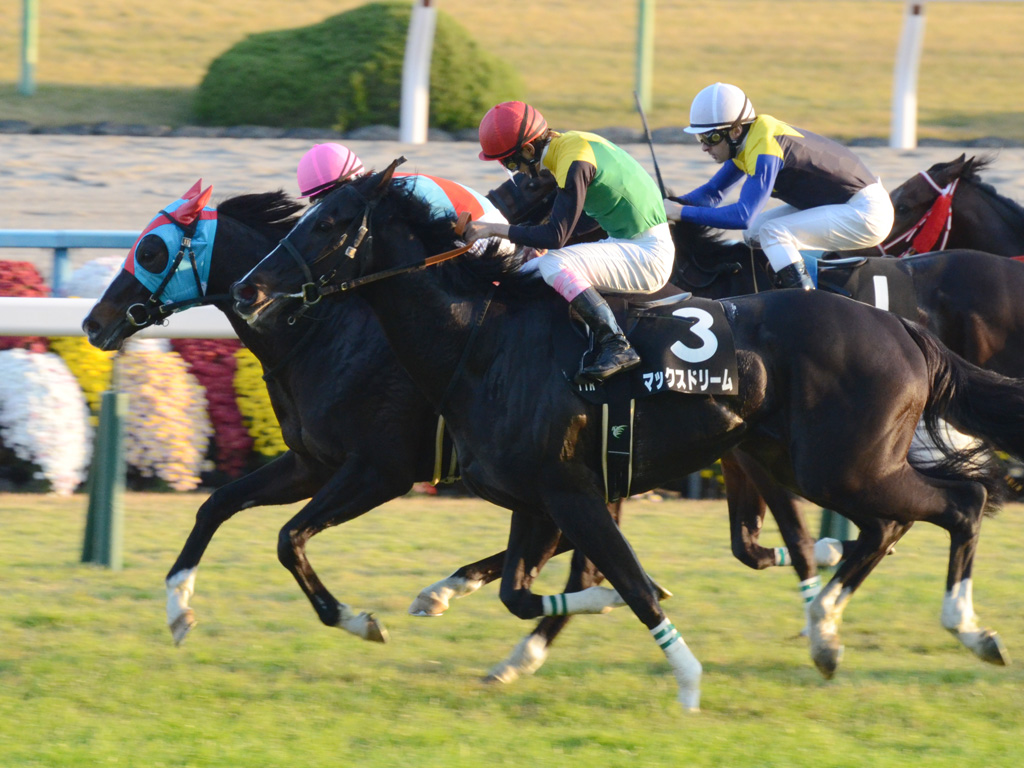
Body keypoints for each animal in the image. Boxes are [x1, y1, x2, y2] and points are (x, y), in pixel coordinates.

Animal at [81, 183, 633, 684]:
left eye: (150, 251)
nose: (92, 323)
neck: (324, 331)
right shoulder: (311, 463)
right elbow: (216, 505)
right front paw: (178, 610)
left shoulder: (380, 470)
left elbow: (288, 539)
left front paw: (356, 620)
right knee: (581, 555)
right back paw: (469, 607)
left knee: (583, 558)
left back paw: (501, 630)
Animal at [233, 162, 1024, 709]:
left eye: (331, 223)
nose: (250, 289)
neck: (482, 340)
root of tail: (904, 330)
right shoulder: (536, 497)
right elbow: (528, 590)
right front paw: (511, 636)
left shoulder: (568, 490)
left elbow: (627, 584)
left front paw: (688, 679)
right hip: (819, 462)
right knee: (896, 522)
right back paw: (836, 626)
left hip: (841, 465)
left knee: (954, 505)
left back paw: (961, 629)